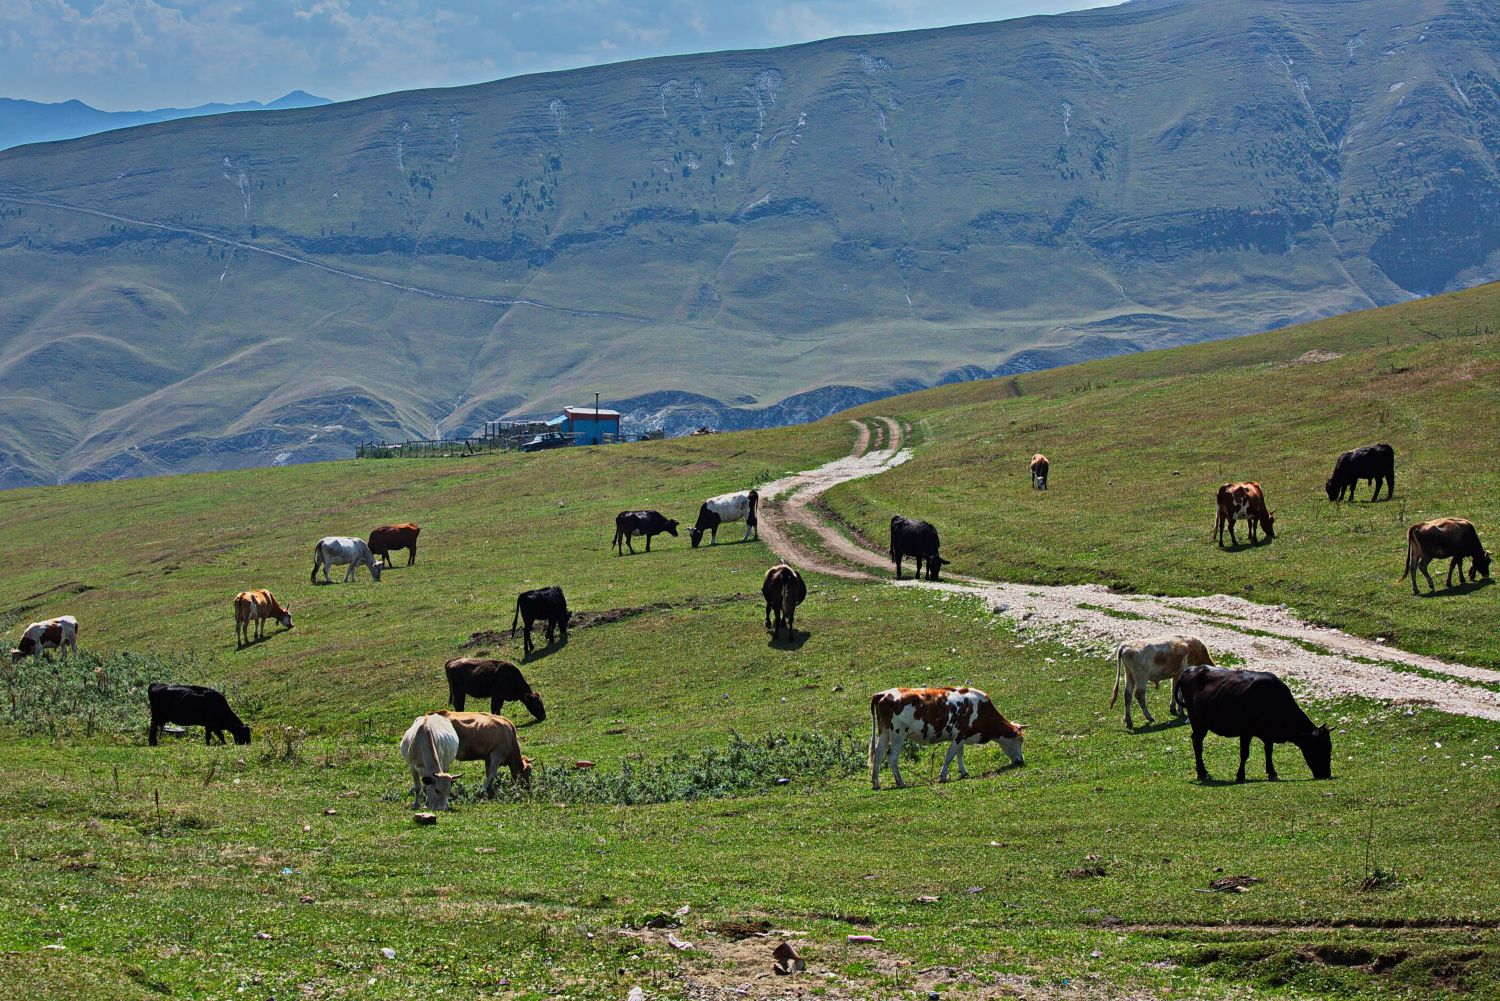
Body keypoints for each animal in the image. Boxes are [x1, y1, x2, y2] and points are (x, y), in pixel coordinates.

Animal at [864, 690, 1026, 792]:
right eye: (1020, 740)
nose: (1021, 761)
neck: (980, 709)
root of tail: (883, 693)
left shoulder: (961, 736)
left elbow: (959, 754)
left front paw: (963, 772)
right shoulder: (960, 735)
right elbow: (950, 756)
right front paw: (942, 776)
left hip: (884, 733)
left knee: (877, 755)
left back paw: (876, 783)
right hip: (898, 735)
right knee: (891, 757)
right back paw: (900, 782)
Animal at [1176, 669, 1332, 786]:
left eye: (1329, 748)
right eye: (1319, 748)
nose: (1326, 775)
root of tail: (1190, 669)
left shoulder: (1268, 735)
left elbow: (1269, 751)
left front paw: (1272, 773)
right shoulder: (1246, 732)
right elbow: (1244, 753)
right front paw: (1240, 776)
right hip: (1198, 721)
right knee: (1197, 743)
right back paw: (1203, 773)